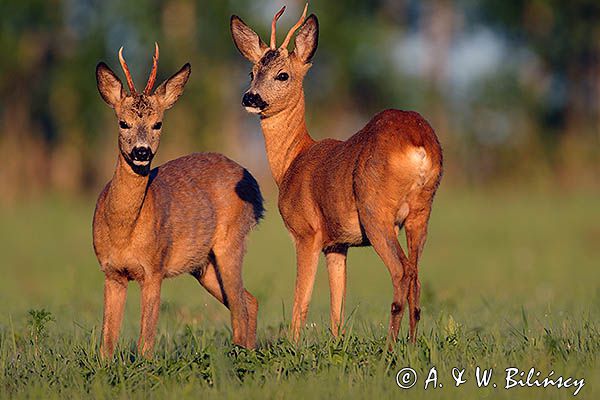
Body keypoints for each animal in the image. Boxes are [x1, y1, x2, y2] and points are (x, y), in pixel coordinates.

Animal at [93, 44, 262, 356]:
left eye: (158, 124)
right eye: (123, 123)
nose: (141, 152)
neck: (123, 230)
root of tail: (256, 187)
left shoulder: (154, 268)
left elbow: (146, 339)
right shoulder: (111, 272)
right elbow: (107, 341)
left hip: (231, 242)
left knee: (240, 306)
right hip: (203, 265)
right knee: (249, 300)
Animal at [232, 5, 442, 344]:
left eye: (282, 74)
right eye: (251, 73)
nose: (250, 98)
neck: (293, 160)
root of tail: (419, 142)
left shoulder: (307, 232)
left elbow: (301, 299)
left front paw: (293, 345)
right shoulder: (337, 243)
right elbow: (337, 302)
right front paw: (336, 342)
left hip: (375, 211)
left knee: (401, 271)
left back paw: (391, 346)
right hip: (421, 212)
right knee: (416, 274)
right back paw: (410, 342)